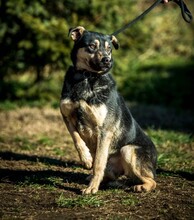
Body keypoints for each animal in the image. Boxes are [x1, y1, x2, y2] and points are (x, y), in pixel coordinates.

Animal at [59, 26, 157, 194]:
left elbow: (98, 163)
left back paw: (141, 187)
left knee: (152, 181)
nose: (107, 60)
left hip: (128, 150)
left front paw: (92, 188)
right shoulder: (67, 116)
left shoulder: (104, 130)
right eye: (92, 46)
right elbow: (77, 139)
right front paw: (86, 159)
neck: (87, 78)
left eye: (109, 49)